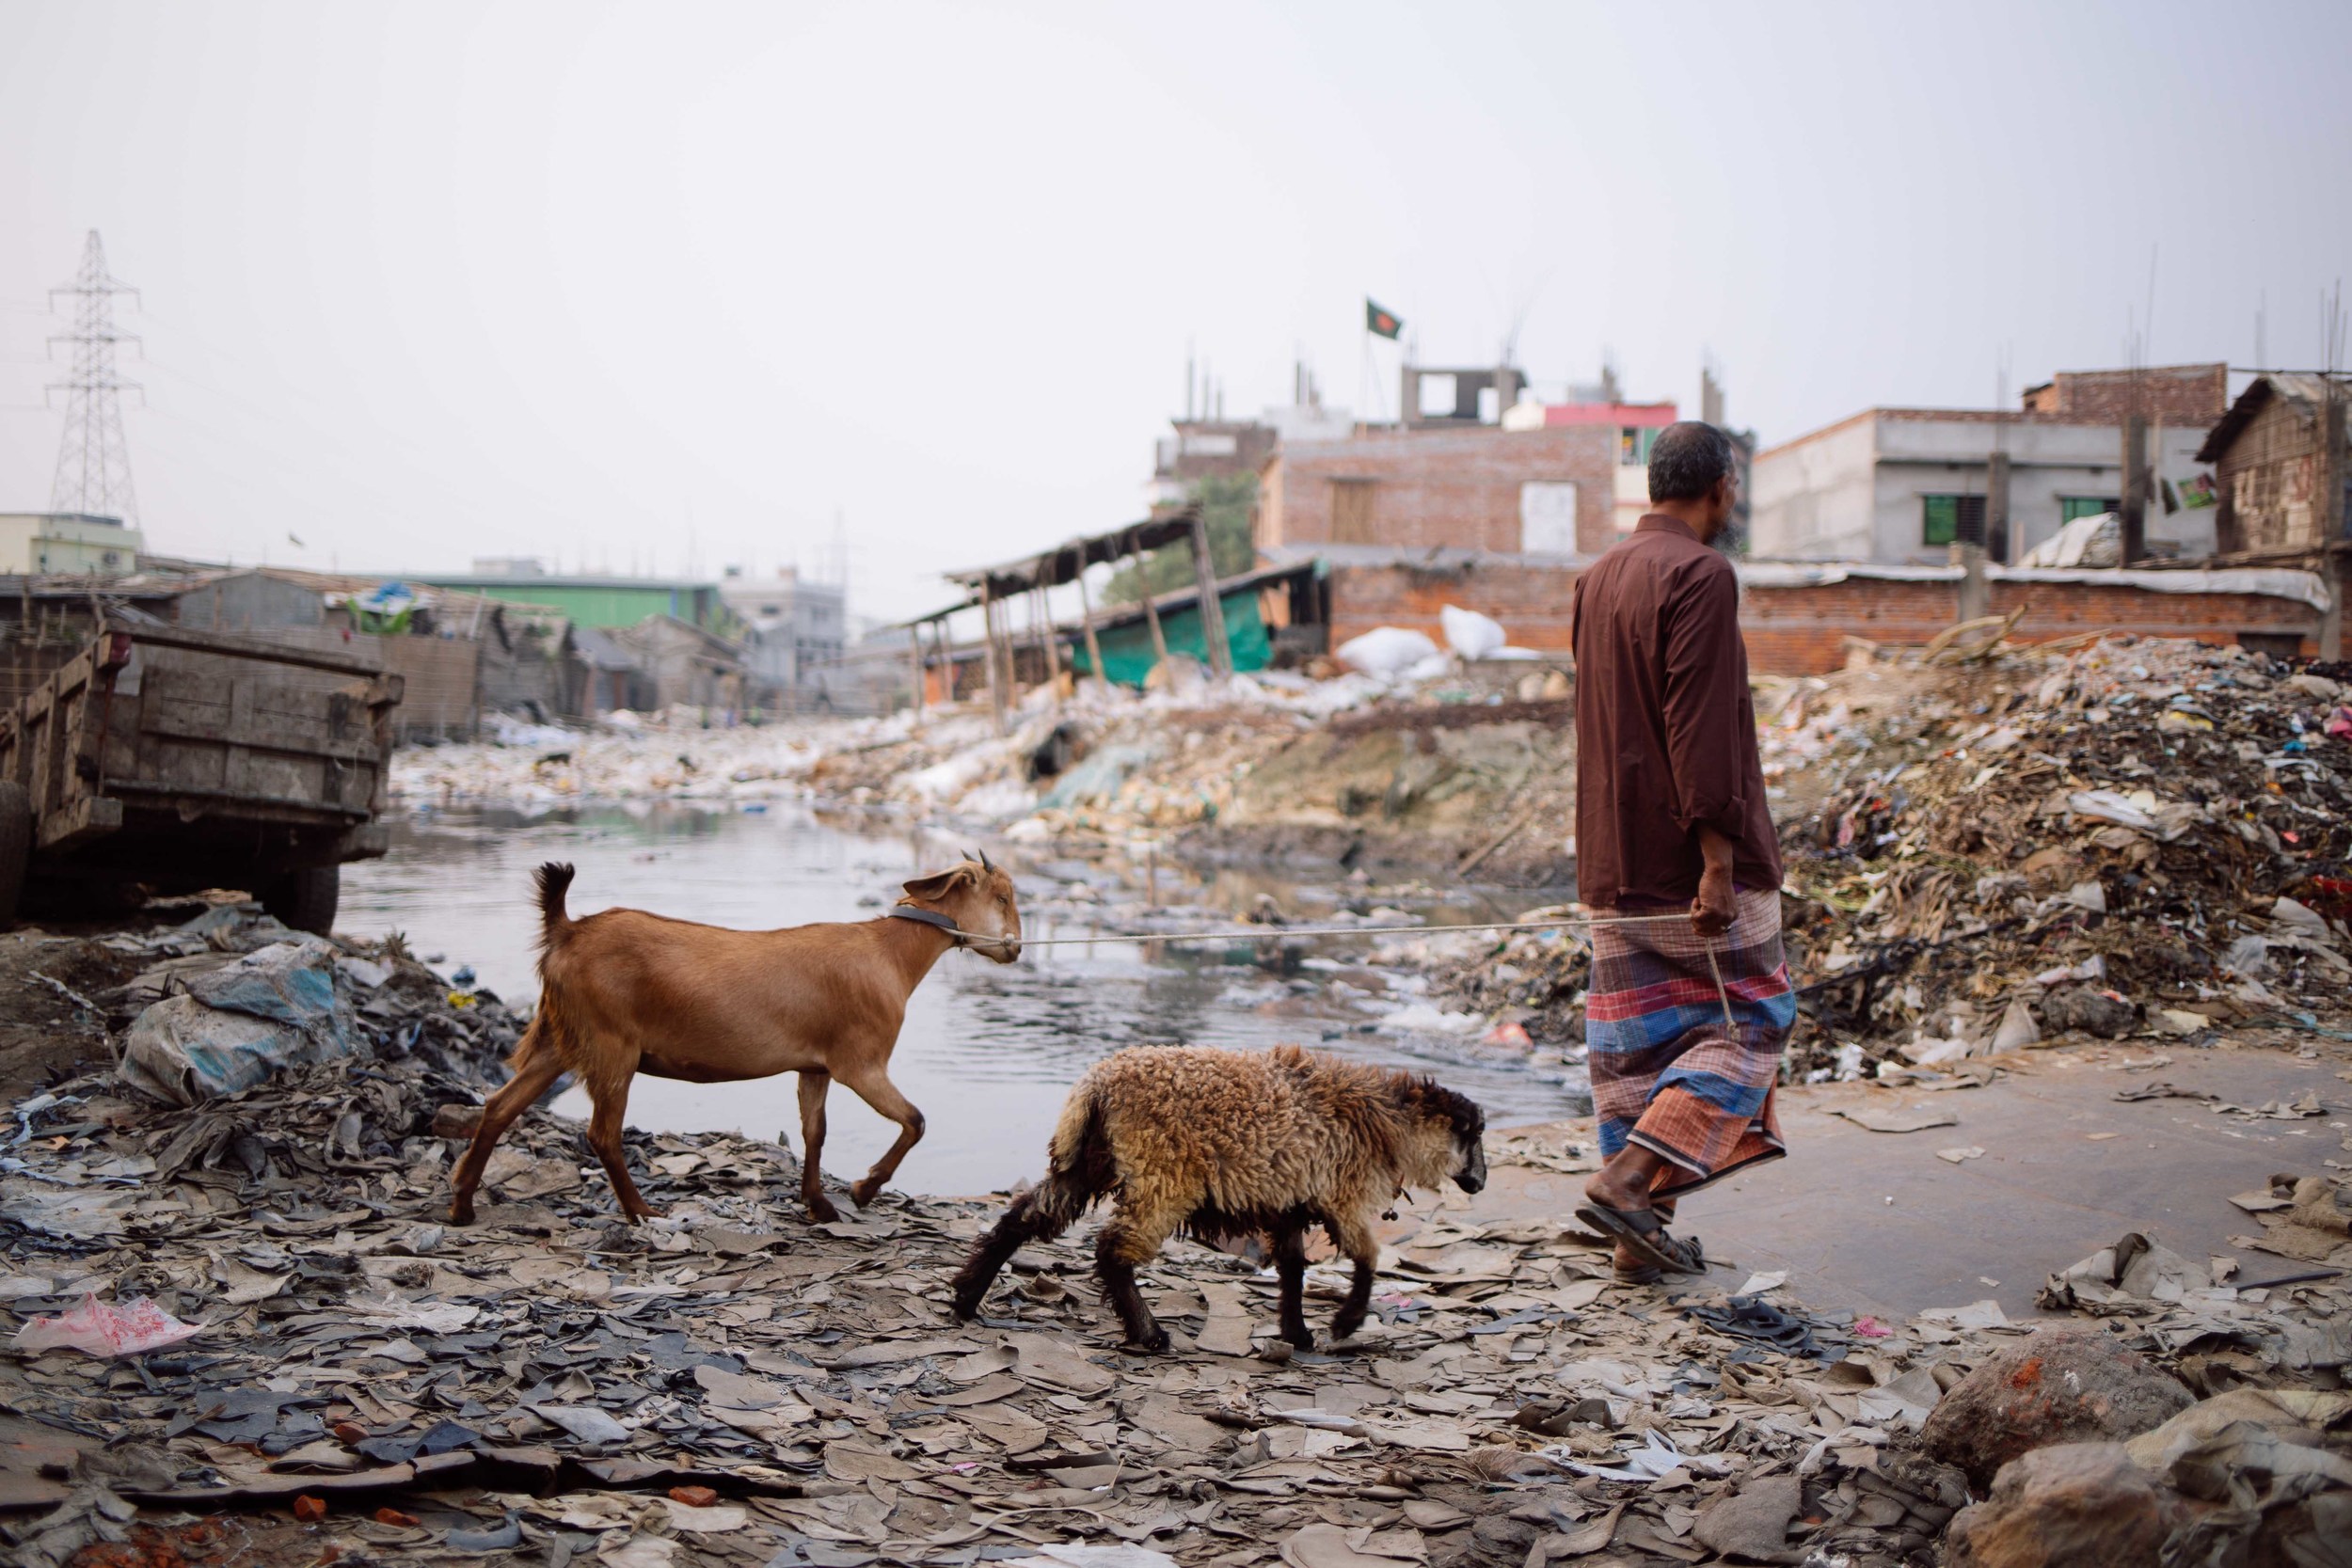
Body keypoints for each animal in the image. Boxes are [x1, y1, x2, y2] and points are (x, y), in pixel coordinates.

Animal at [449, 860, 1021, 1222]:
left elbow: (815, 1132)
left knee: (498, 1107)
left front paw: (819, 1204)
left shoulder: (815, 1065)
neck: (890, 954)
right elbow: (915, 1120)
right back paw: (642, 1212)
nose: (1014, 948)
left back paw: (462, 1205)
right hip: (612, 1045)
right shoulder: (861, 1063)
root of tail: (567, 930)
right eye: (1002, 896)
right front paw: (863, 1189)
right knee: (602, 1134)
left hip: (557, 1039)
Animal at [950, 1043, 1486, 1354]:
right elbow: (1368, 1258)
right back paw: (1149, 1334)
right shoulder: (1342, 1197)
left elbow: (1294, 1268)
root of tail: (1095, 1086)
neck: (1384, 1122)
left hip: (1084, 1163)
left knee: (1022, 1219)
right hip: (1162, 1173)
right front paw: (1344, 1324)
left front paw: (1298, 1333)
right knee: (1113, 1250)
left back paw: (967, 1297)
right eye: (1476, 1133)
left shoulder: (1290, 1203)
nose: (1481, 1183)